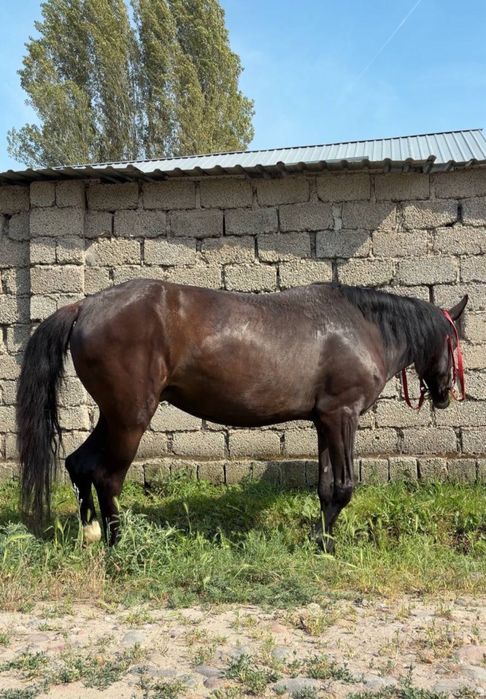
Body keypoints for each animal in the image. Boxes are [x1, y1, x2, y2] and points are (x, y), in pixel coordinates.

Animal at [16, 280, 468, 550]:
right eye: (455, 340)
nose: (445, 394)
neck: (360, 327)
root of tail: (86, 305)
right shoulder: (343, 416)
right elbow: (343, 488)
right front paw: (325, 543)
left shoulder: (325, 420)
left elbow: (325, 488)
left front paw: (321, 542)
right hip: (131, 418)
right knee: (107, 476)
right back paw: (119, 542)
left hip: (114, 415)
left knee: (80, 464)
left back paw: (91, 533)